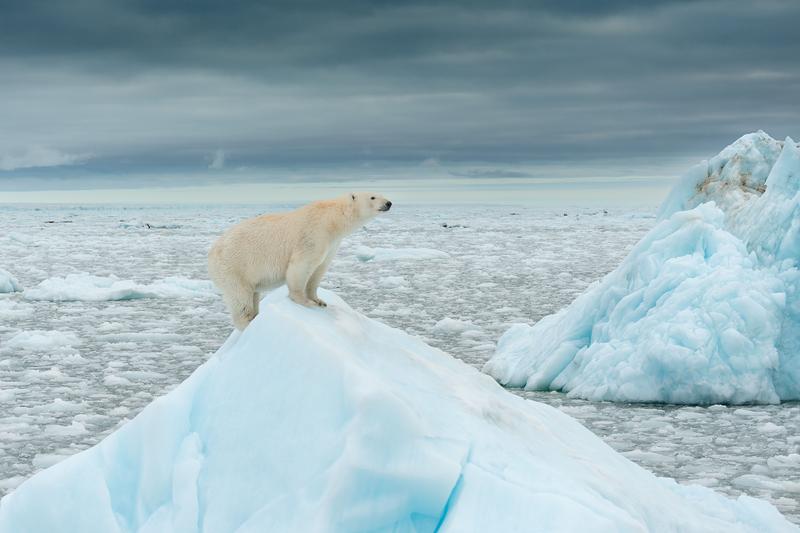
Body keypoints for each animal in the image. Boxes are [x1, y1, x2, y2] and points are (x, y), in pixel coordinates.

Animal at [208, 192, 392, 328]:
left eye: (381, 193)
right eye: (373, 197)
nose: (389, 203)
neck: (332, 219)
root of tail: (211, 253)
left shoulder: (331, 244)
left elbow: (319, 270)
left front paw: (319, 301)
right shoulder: (314, 234)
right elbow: (302, 265)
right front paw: (304, 301)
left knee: (253, 295)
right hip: (234, 268)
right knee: (240, 300)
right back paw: (248, 323)